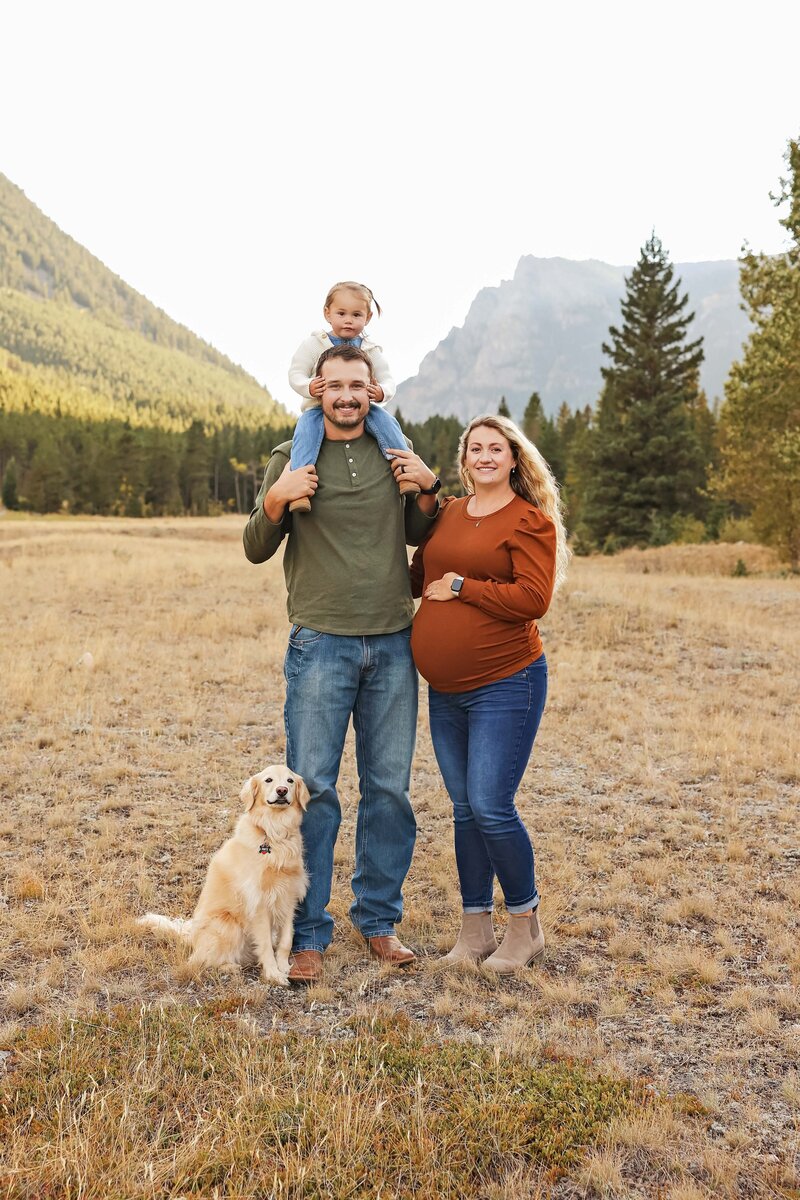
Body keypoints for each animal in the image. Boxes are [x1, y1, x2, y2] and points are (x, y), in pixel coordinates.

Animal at [139, 768, 309, 984]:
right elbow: (265, 944)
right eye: (268, 780)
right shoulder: (259, 903)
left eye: (290, 781)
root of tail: (191, 935)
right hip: (227, 923)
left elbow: (286, 939)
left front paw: (284, 967)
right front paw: (273, 974)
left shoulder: (288, 895)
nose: (282, 790)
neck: (274, 834)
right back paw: (230, 967)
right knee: (200, 960)